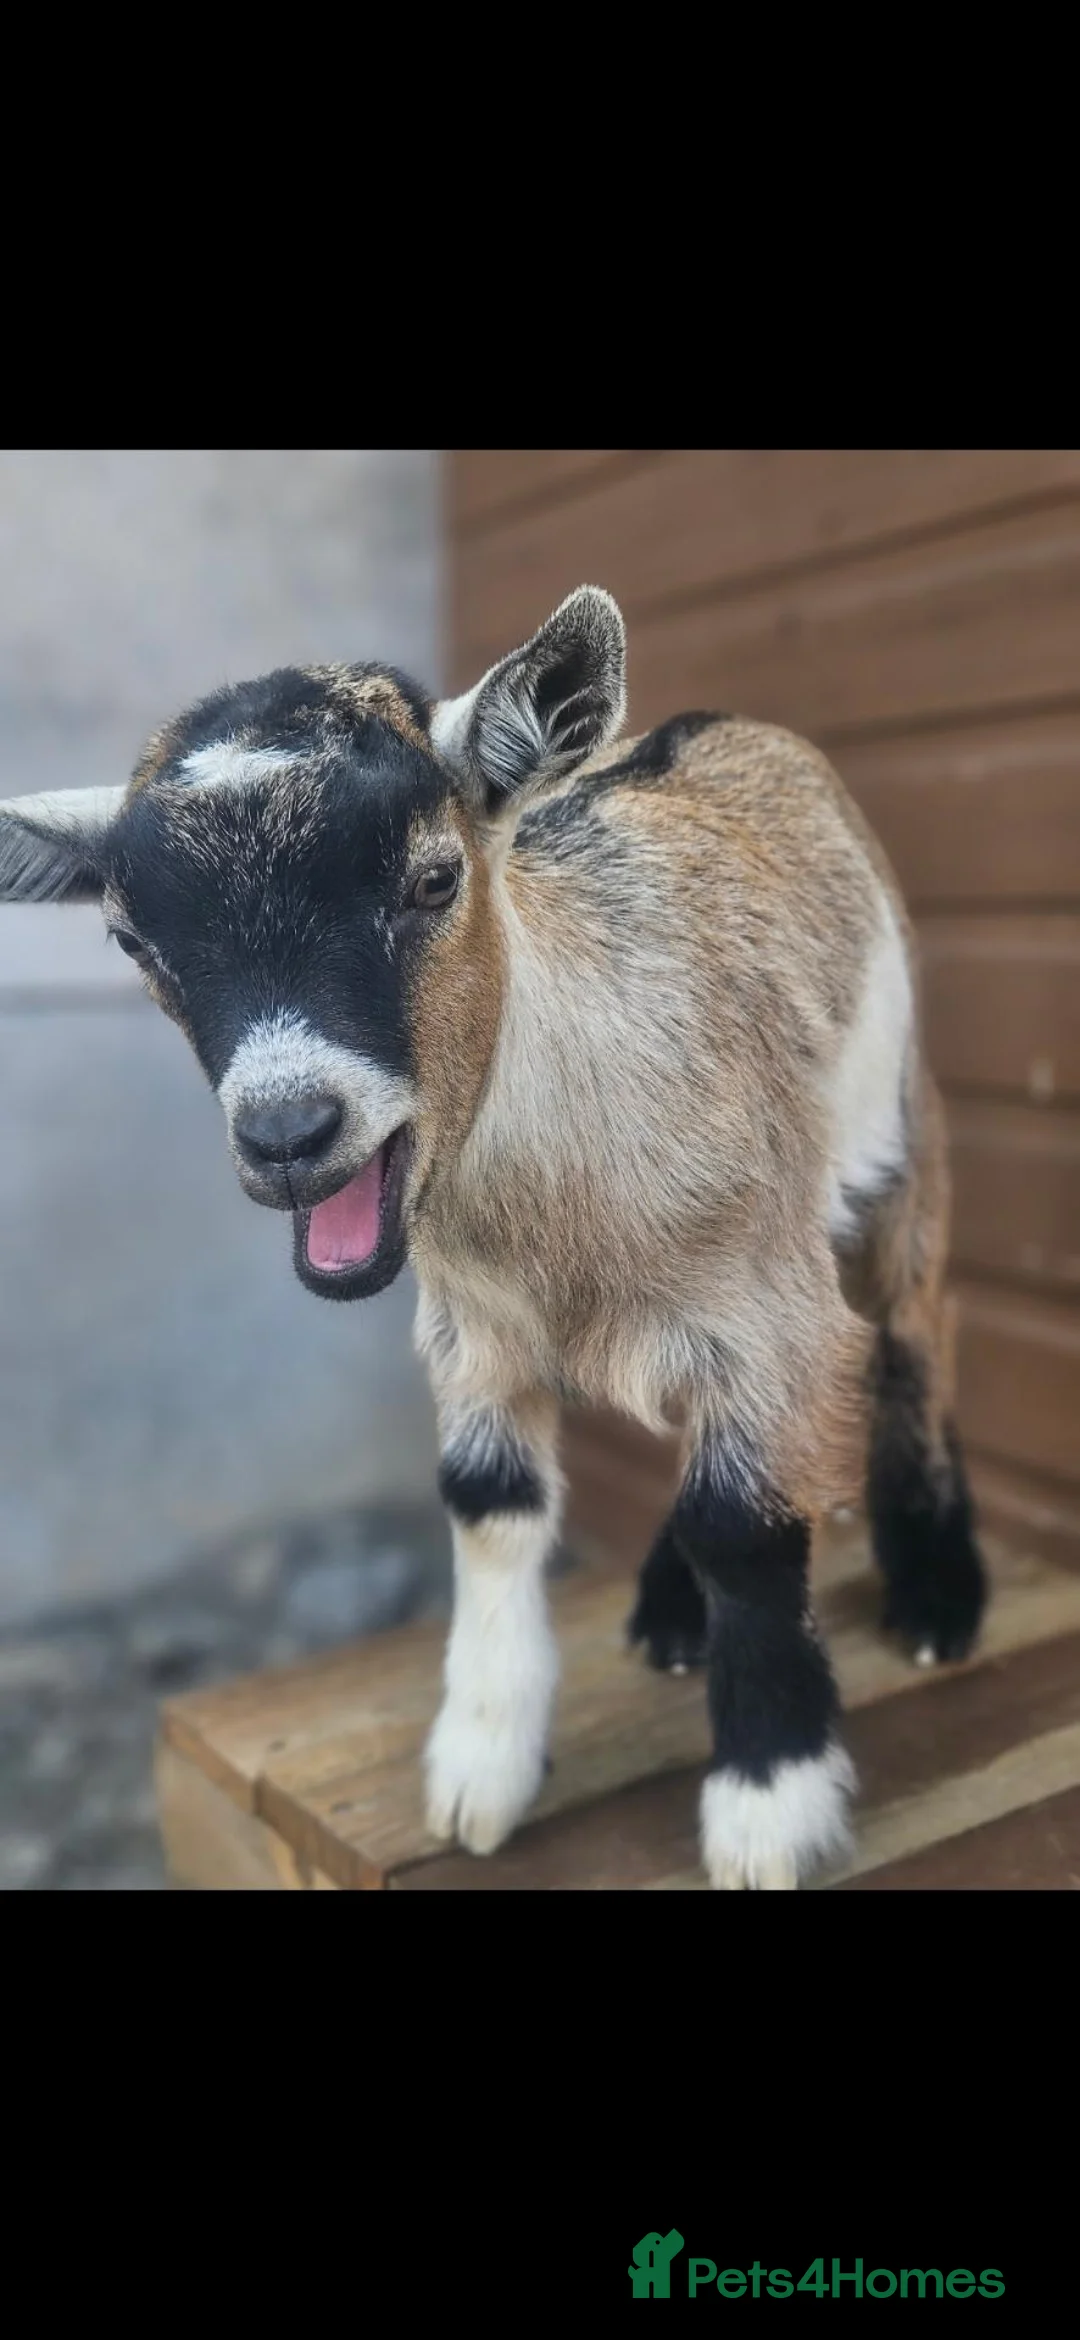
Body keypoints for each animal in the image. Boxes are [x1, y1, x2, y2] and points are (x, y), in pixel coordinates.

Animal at [0, 586, 987, 1887]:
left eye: (431, 881)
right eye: (132, 942)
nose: (288, 1130)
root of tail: (726, 724)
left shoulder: (765, 1308)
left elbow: (745, 1525)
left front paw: (768, 1807)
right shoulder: (472, 1333)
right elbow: (488, 1495)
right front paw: (480, 1769)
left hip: (901, 1129)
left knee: (918, 1318)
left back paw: (937, 1594)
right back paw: (671, 1614)